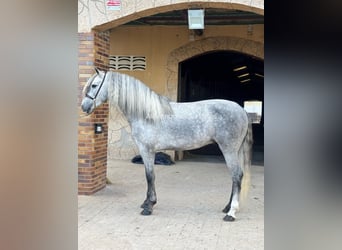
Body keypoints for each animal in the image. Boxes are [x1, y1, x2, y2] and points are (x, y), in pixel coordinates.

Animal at [79, 68, 251, 221]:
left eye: (94, 85)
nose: (84, 107)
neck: (145, 112)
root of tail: (240, 110)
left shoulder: (147, 150)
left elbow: (150, 176)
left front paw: (149, 206)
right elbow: (150, 176)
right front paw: (146, 203)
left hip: (229, 150)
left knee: (236, 175)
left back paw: (231, 213)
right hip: (235, 150)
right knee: (236, 177)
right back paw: (227, 207)